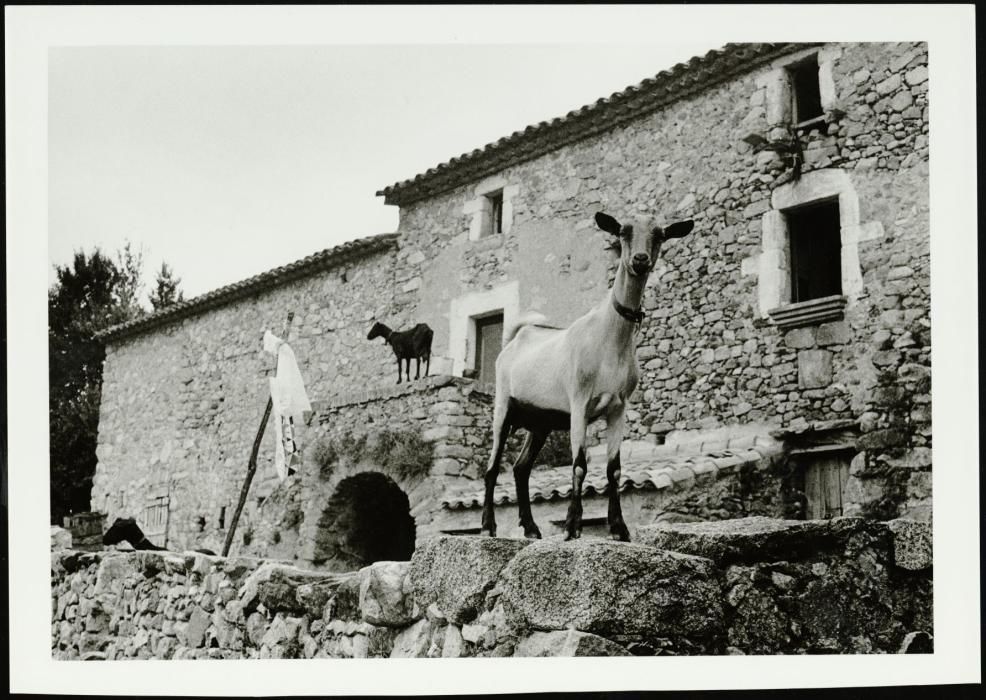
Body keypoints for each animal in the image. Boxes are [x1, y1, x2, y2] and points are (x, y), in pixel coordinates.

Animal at [478, 211, 692, 540]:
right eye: (623, 232)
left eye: (659, 235)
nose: (640, 259)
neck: (609, 339)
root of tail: (516, 338)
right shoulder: (579, 403)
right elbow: (579, 465)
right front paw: (572, 526)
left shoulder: (618, 409)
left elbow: (614, 469)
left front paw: (619, 528)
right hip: (503, 407)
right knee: (492, 468)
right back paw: (489, 526)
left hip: (540, 423)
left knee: (520, 468)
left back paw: (531, 528)